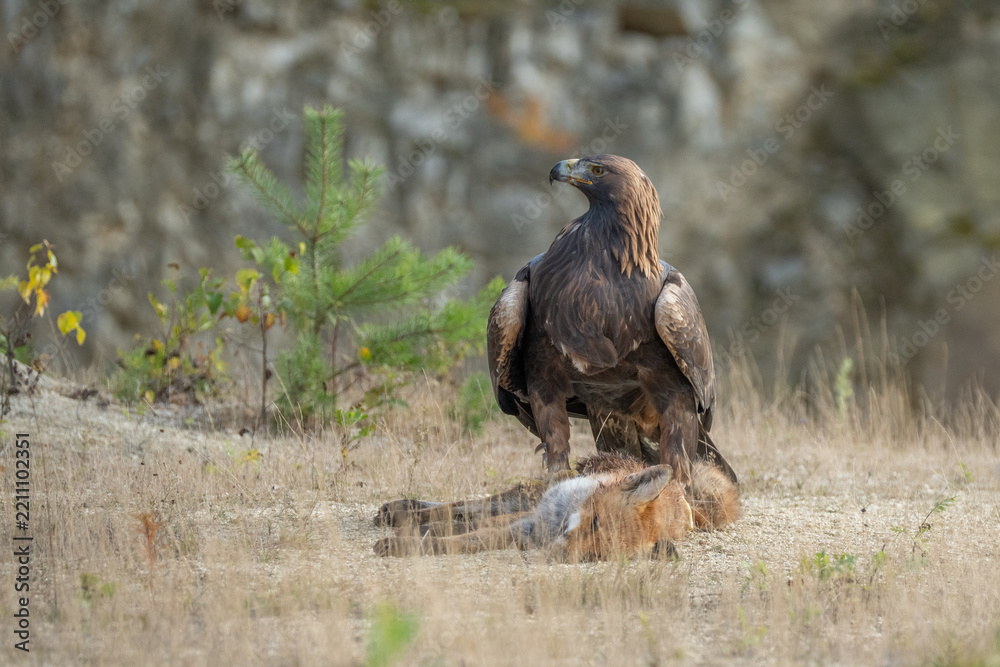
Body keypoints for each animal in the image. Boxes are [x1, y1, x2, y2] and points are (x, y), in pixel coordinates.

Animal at [374, 452, 739, 561]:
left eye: (596, 556)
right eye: (594, 522)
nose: (558, 555)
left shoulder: (526, 531)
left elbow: (469, 538)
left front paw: (411, 541)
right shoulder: (533, 518)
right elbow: (467, 528)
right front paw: (404, 539)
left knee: (471, 512)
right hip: (533, 493)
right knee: (469, 505)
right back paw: (400, 511)